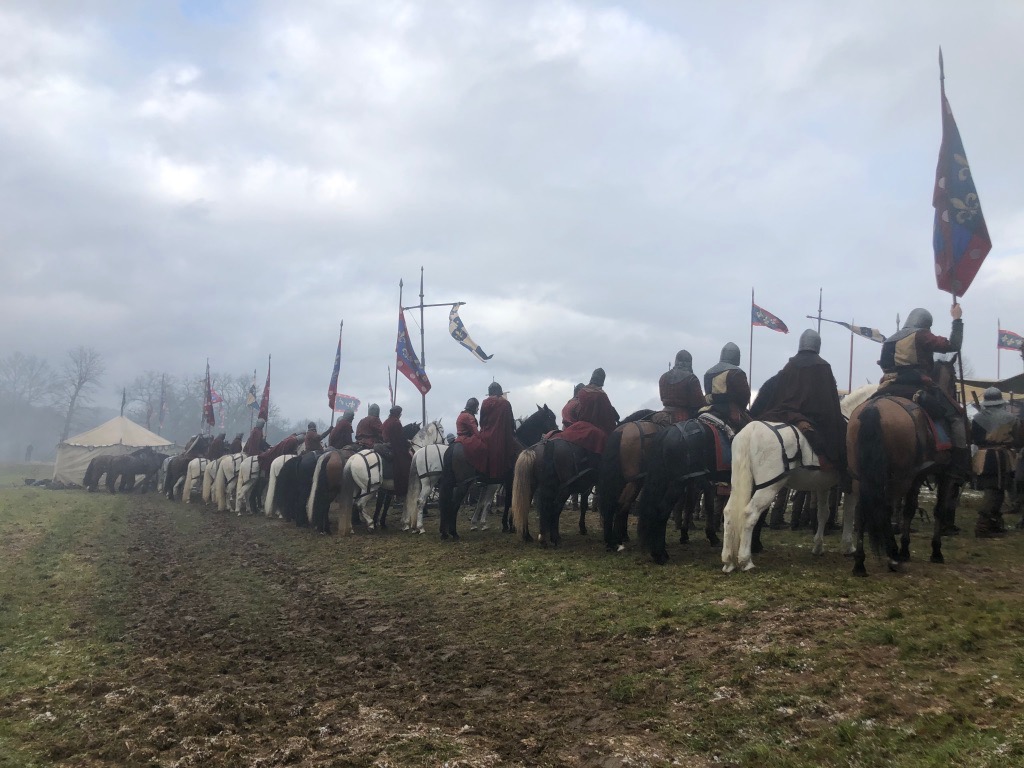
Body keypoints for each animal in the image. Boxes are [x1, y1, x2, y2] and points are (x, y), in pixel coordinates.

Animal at [436, 405, 558, 541]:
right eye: (551, 417)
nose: (557, 430)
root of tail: (453, 446)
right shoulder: (512, 480)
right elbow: (510, 501)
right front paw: (511, 525)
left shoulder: (507, 481)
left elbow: (507, 501)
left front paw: (506, 525)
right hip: (464, 484)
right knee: (453, 504)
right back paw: (454, 532)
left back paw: (444, 532)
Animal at [719, 383, 880, 573]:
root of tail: (751, 430)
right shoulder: (850, 484)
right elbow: (848, 512)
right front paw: (848, 547)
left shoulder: (822, 485)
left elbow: (822, 513)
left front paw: (818, 546)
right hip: (769, 487)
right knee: (750, 514)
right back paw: (745, 561)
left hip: (741, 484)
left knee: (729, 512)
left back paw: (728, 560)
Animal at [846, 359, 965, 577]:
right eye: (953, 378)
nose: (954, 396)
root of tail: (874, 408)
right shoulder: (941, 475)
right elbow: (935, 510)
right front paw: (935, 551)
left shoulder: (918, 476)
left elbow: (909, 510)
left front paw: (906, 549)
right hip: (898, 477)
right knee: (885, 509)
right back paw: (893, 556)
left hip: (862, 477)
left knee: (862, 512)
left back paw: (860, 563)